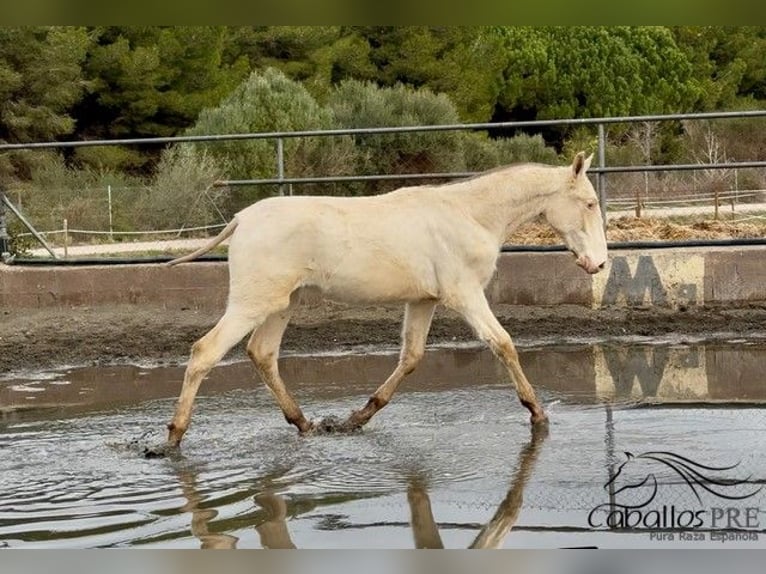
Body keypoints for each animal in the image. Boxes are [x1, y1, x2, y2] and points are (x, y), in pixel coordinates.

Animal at [164, 151, 607, 447]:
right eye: (589, 203)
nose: (599, 264)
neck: (470, 214)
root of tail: (241, 220)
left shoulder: (424, 301)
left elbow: (410, 358)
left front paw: (354, 420)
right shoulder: (465, 295)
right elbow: (503, 344)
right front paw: (537, 413)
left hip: (282, 304)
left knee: (262, 353)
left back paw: (306, 424)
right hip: (252, 304)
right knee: (205, 351)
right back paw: (171, 438)